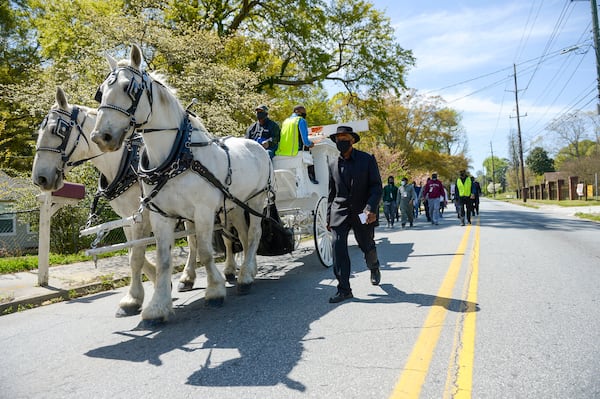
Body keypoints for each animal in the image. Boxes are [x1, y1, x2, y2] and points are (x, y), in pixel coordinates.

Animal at [31, 87, 213, 318]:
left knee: (193, 240)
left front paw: (133, 299)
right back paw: (188, 278)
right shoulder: (128, 218)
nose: (39, 178)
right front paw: (153, 283)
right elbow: (132, 254)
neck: (124, 164)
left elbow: (136, 256)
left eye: (58, 130)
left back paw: (193, 275)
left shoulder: (145, 215)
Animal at [89, 44, 272, 324]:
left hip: (257, 200)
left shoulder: (203, 211)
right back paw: (246, 271)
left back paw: (245, 277)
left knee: (254, 235)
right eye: (101, 92)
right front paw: (157, 307)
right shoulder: (161, 215)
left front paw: (215, 291)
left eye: (130, 88)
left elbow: (206, 251)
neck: (176, 156)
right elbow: (163, 258)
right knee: (241, 234)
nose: (102, 136)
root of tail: (257, 144)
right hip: (235, 205)